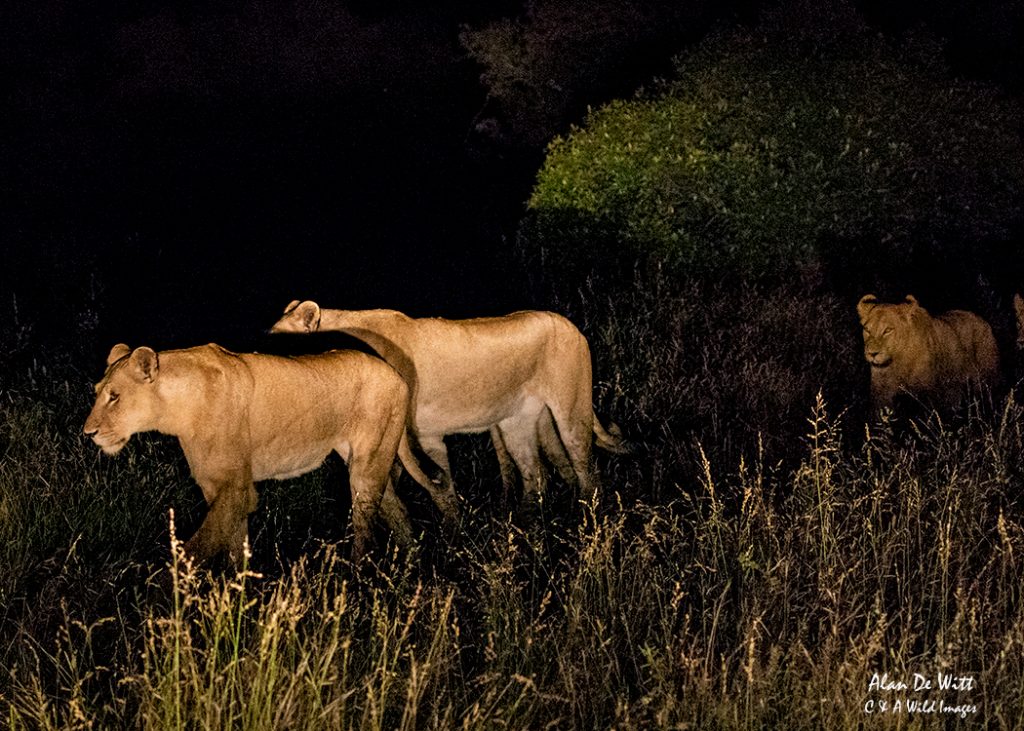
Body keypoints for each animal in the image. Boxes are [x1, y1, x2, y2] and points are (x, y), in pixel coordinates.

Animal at [83, 343, 446, 566]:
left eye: (114, 397)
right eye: (98, 393)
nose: (88, 433)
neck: (177, 406)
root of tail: (396, 373)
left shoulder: (235, 488)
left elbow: (196, 548)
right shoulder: (218, 487)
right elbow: (233, 548)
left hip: (365, 468)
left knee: (366, 525)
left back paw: (356, 579)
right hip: (367, 460)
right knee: (398, 509)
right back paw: (411, 565)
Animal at [270, 300, 631, 507]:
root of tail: (571, 326)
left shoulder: (421, 436)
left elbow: (438, 490)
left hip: (571, 408)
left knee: (585, 466)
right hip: (518, 422)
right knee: (537, 474)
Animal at [857, 294, 999, 411]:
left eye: (888, 330)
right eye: (867, 330)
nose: (872, 353)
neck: (895, 364)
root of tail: (982, 320)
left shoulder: (927, 395)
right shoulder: (881, 395)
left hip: (986, 379)